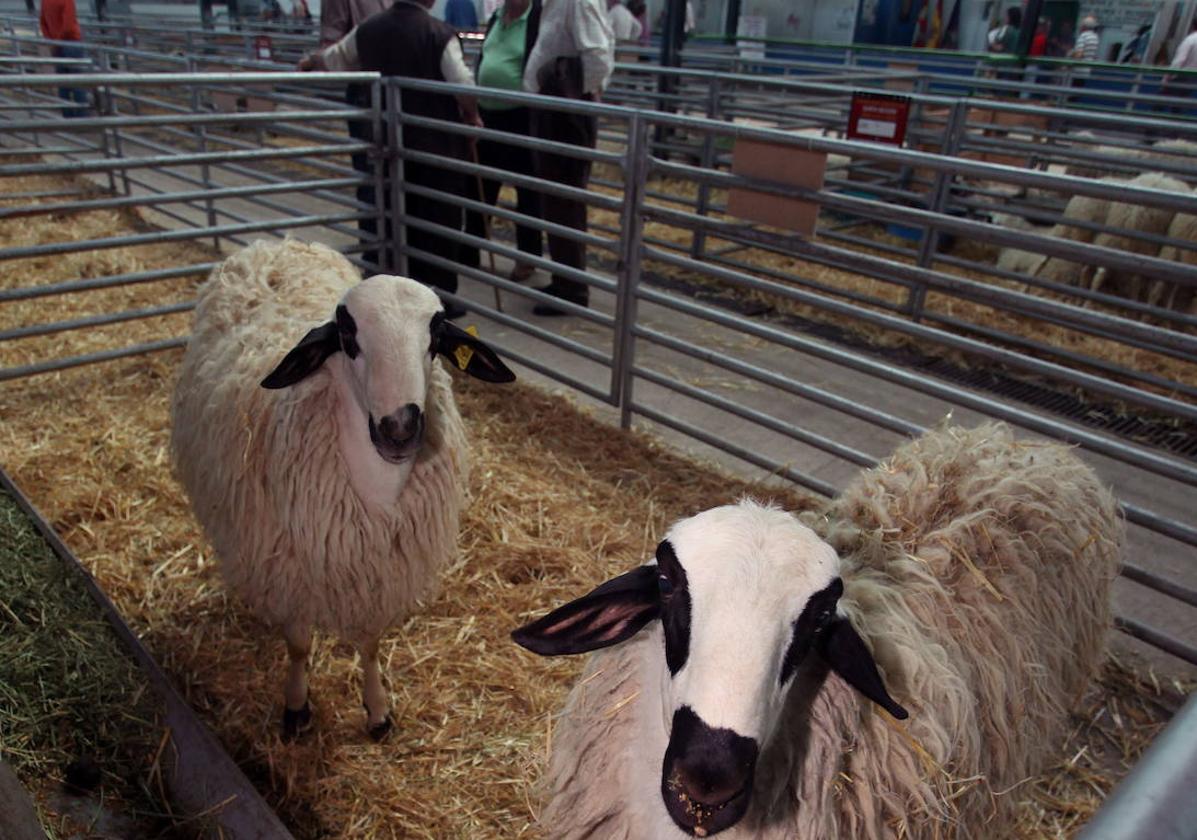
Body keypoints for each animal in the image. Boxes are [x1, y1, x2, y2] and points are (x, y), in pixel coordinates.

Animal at [172, 236, 514, 737]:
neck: (377, 486)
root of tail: (277, 243)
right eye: (348, 337)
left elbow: (369, 644)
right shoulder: (293, 572)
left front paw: (377, 711)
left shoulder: (374, 576)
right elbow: (298, 645)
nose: (399, 429)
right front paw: (296, 707)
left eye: (435, 337)